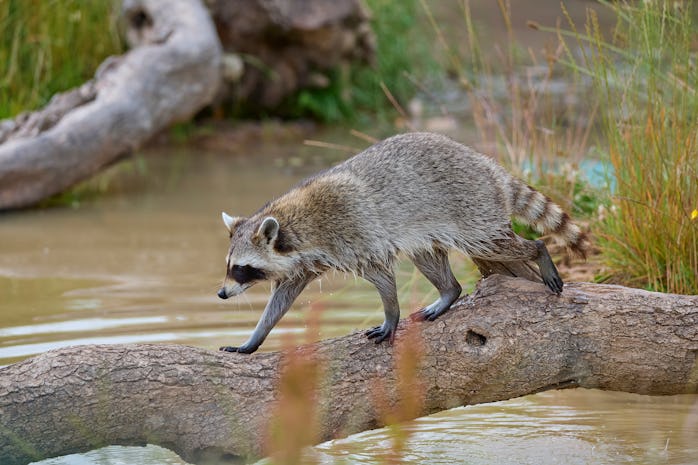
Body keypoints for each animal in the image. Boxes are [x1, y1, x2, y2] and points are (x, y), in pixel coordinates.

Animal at [217, 132, 588, 354]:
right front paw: (254, 338)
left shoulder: (355, 234)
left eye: (242, 269)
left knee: (491, 243)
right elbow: (282, 298)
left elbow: (382, 276)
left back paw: (538, 250)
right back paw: (449, 292)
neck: (295, 224)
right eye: (230, 267)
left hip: (473, 207)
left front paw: (391, 316)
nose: (221, 294)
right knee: (428, 257)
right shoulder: (305, 263)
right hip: (430, 226)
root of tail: (486, 165)